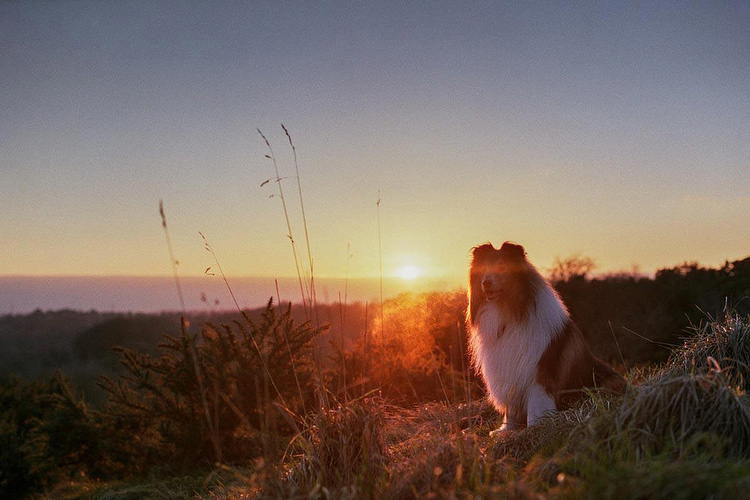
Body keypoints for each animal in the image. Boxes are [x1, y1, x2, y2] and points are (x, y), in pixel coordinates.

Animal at [468, 240, 624, 432]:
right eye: (483, 269)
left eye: (502, 267)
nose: (486, 282)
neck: (509, 312)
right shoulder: (509, 372)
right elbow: (510, 410)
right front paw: (505, 430)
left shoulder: (538, 374)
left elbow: (536, 405)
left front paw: (534, 426)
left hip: (607, 382)